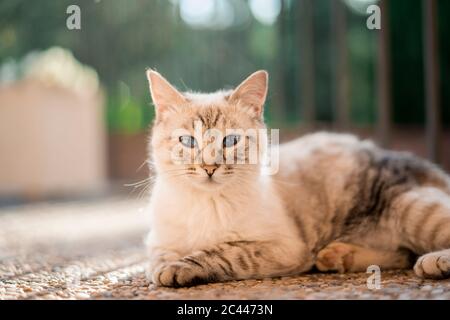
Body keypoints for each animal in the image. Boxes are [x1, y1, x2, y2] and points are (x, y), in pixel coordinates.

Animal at [143, 69, 450, 286]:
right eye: (188, 141)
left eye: (230, 141)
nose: (209, 167)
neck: (206, 204)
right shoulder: (159, 242)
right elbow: (159, 258)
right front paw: (166, 267)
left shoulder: (282, 248)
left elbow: (222, 252)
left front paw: (179, 268)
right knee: (403, 252)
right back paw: (336, 256)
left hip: (411, 210)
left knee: (421, 248)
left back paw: (434, 262)